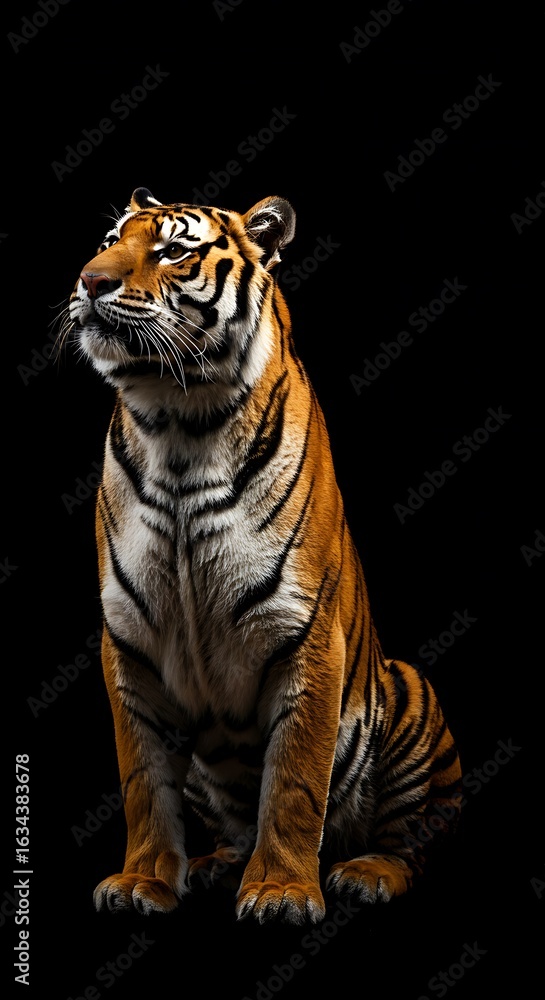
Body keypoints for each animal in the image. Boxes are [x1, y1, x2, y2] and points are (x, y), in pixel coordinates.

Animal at [65, 186, 462, 925]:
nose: (89, 280)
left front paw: (280, 892)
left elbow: (294, 781)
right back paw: (215, 863)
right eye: (107, 241)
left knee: (411, 843)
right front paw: (142, 882)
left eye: (173, 249)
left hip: (408, 692)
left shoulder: (303, 634)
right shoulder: (129, 642)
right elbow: (141, 781)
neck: (176, 422)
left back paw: (366, 872)